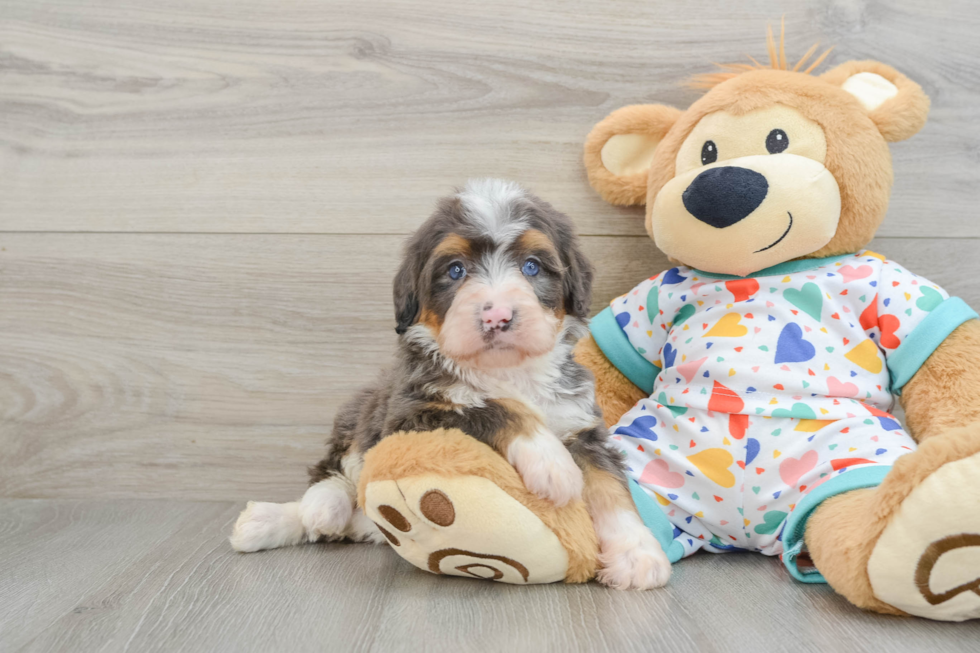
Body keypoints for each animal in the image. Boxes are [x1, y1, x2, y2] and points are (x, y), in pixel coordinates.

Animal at [232, 180, 672, 592]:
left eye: (532, 266)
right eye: (456, 270)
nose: (497, 316)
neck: (508, 372)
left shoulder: (581, 423)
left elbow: (611, 487)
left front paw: (637, 554)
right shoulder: (411, 411)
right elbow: (493, 406)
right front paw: (552, 464)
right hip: (363, 409)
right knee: (336, 467)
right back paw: (298, 513)